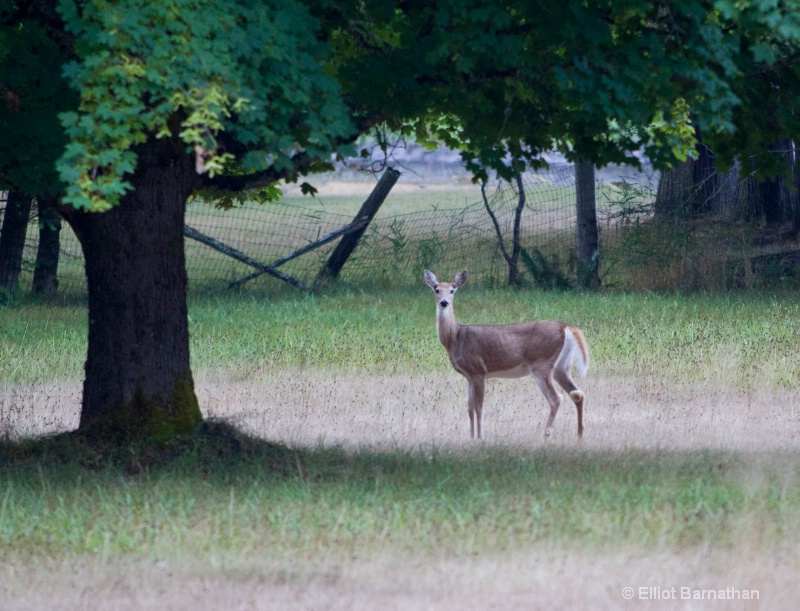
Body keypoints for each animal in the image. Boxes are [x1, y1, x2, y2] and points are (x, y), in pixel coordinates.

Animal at [424, 272, 588, 440]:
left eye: (452, 290)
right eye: (436, 289)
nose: (444, 302)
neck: (455, 338)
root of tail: (566, 327)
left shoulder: (478, 371)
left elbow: (479, 407)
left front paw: (480, 437)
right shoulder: (468, 376)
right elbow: (469, 408)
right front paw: (471, 437)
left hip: (541, 363)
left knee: (556, 398)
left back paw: (546, 435)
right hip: (560, 366)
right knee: (578, 393)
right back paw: (580, 435)